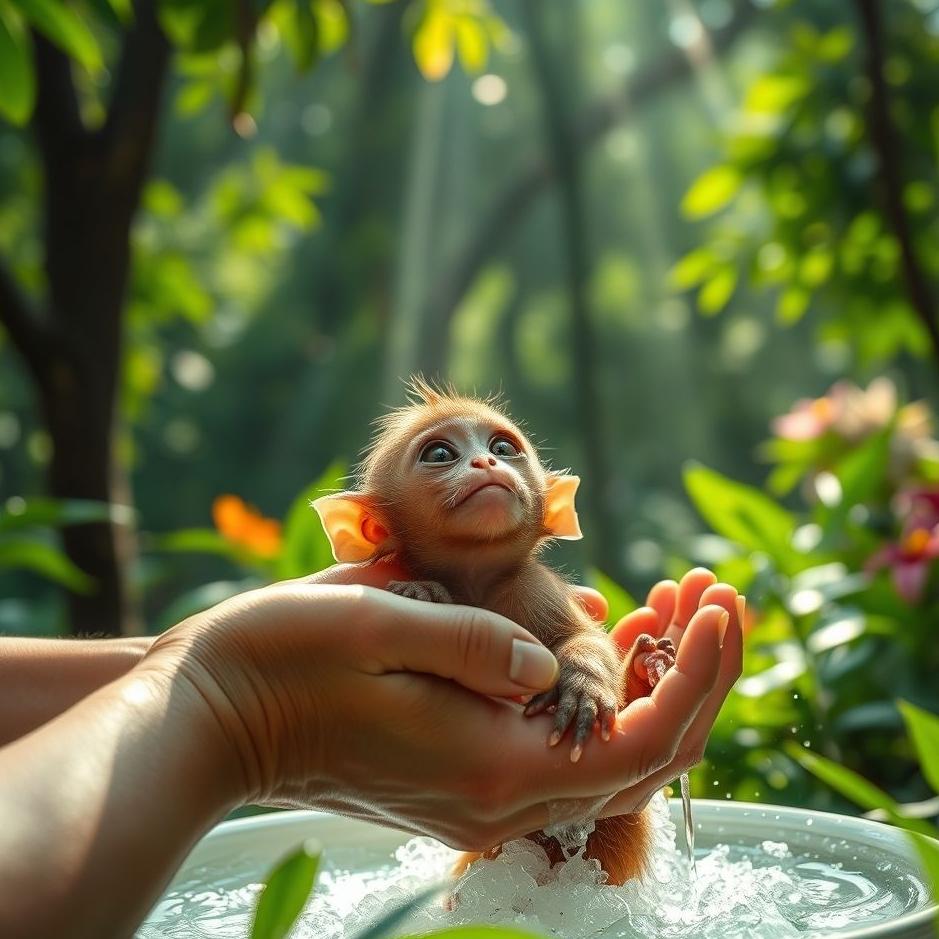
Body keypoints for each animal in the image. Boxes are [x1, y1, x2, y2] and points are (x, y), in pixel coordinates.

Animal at [312, 379, 676, 885]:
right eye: (440, 453)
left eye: (503, 447)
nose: (487, 462)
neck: (478, 581)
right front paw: (427, 594)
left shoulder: (534, 587)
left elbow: (583, 638)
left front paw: (581, 686)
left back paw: (645, 668)